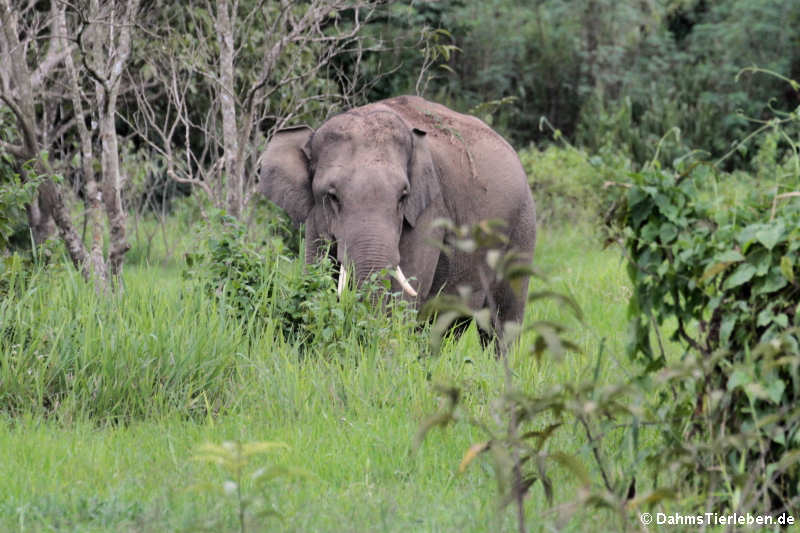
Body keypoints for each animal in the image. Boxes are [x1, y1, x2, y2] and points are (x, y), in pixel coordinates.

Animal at [260, 95, 536, 340]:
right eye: (332, 196)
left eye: (402, 196)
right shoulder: (315, 217)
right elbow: (316, 280)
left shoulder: (429, 212)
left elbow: (404, 296)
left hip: (522, 228)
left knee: (502, 323)